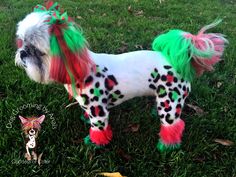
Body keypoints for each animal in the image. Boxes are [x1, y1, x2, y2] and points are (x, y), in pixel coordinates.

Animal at [14, 1, 227, 151]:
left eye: (37, 51)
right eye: (22, 42)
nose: (22, 53)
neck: (82, 68)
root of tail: (178, 61)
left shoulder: (99, 111)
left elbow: (98, 129)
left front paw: (96, 144)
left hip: (170, 104)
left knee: (174, 125)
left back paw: (168, 146)